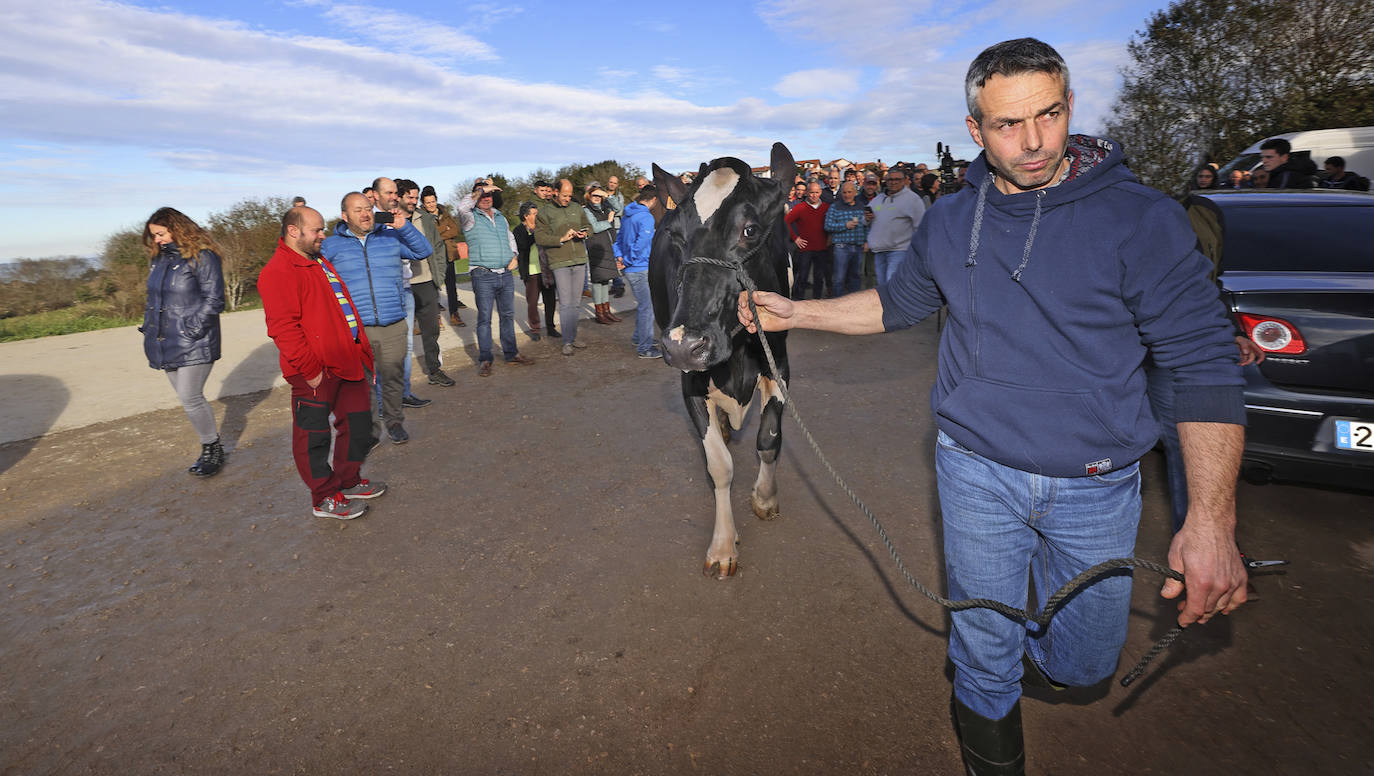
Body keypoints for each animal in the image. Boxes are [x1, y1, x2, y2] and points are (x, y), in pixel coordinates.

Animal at [651, 142, 802, 574]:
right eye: (675, 234)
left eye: (749, 230)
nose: (684, 344)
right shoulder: (689, 380)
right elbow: (718, 465)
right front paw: (722, 545)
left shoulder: (779, 364)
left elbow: (769, 439)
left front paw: (765, 497)